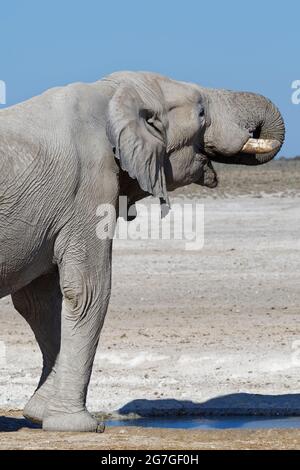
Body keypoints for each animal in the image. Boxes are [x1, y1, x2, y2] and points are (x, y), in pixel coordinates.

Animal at [0, 70, 284, 430]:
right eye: (201, 112)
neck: (111, 94)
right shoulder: (90, 187)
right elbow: (87, 291)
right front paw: (81, 426)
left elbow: (38, 303)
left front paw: (38, 414)